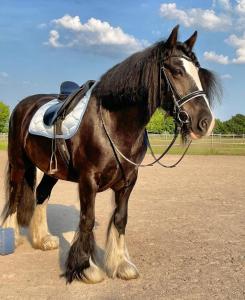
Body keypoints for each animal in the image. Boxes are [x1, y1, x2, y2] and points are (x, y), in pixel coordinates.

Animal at [0, 26, 219, 284]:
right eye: (176, 71)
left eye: (198, 72)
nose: (205, 122)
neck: (114, 123)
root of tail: (23, 105)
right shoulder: (88, 180)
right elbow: (87, 219)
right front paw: (85, 268)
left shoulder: (129, 180)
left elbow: (120, 218)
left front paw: (121, 264)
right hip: (19, 163)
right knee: (14, 196)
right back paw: (12, 237)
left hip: (51, 170)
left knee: (41, 194)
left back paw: (43, 240)